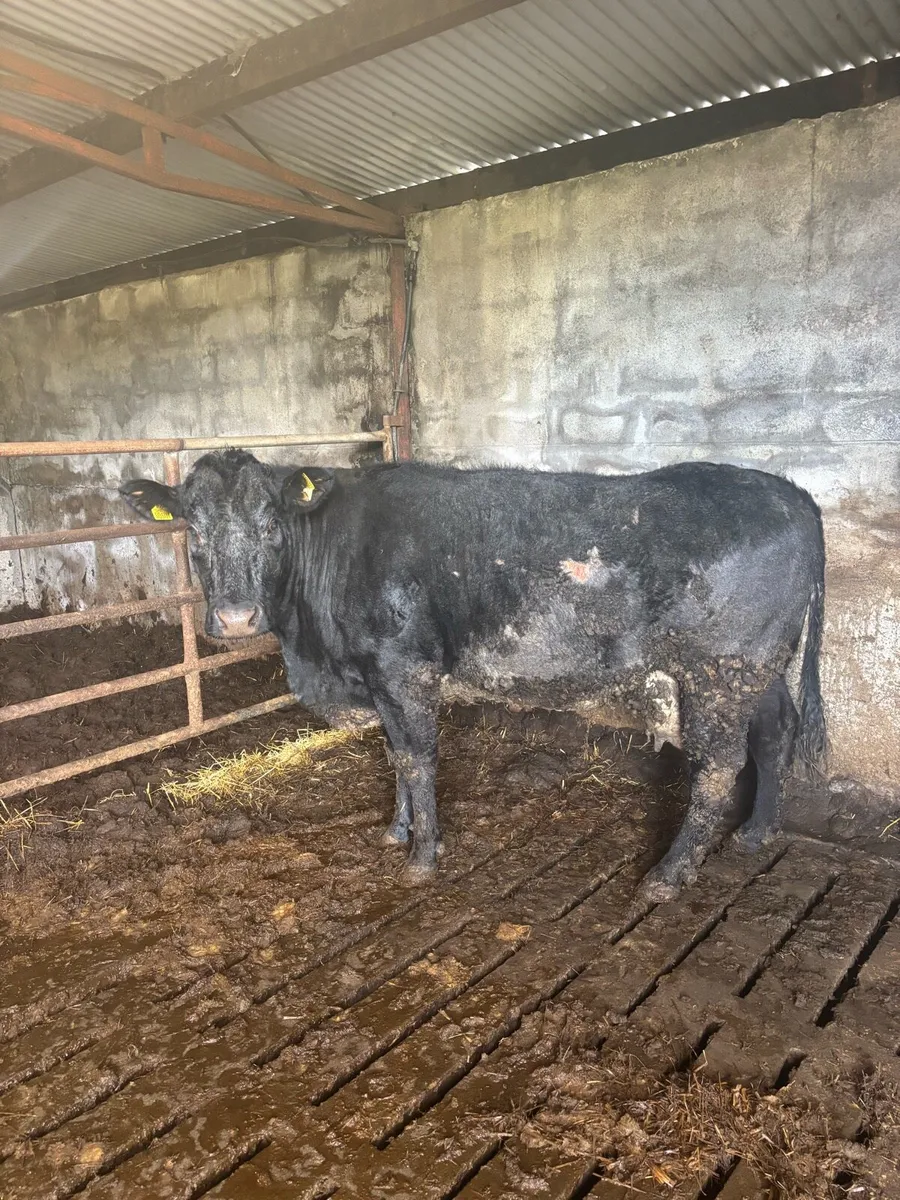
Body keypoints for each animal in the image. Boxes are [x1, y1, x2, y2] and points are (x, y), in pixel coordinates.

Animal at [120, 452, 826, 903]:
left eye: (270, 523)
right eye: (193, 529)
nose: (236, 618)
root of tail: (792, 493)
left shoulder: (404, 667)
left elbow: (417, 756)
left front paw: (422, 856)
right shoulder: (379, 677)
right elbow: (394, 755)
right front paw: (398, 829)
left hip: (720, 670)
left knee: (718, 767)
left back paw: (669, 875)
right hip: (758, 668)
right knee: (776, 728)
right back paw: (757, 832)